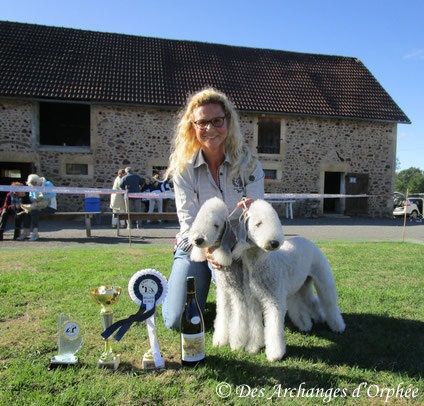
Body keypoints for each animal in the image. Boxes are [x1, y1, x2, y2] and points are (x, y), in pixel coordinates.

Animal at [235, 200, 344, 362]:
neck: (262, 263)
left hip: (322, 278)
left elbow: (274, 327)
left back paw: (338, 326)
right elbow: (255, 326)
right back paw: (313, 321)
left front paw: (275, 354)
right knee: (311, 302)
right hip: (302, 285)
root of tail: (307, 240)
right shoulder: (253, 301)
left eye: (275, 220)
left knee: (329, 302)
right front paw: (253, 347)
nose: (274, 243)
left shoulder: (274, 301)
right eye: (258, 224)